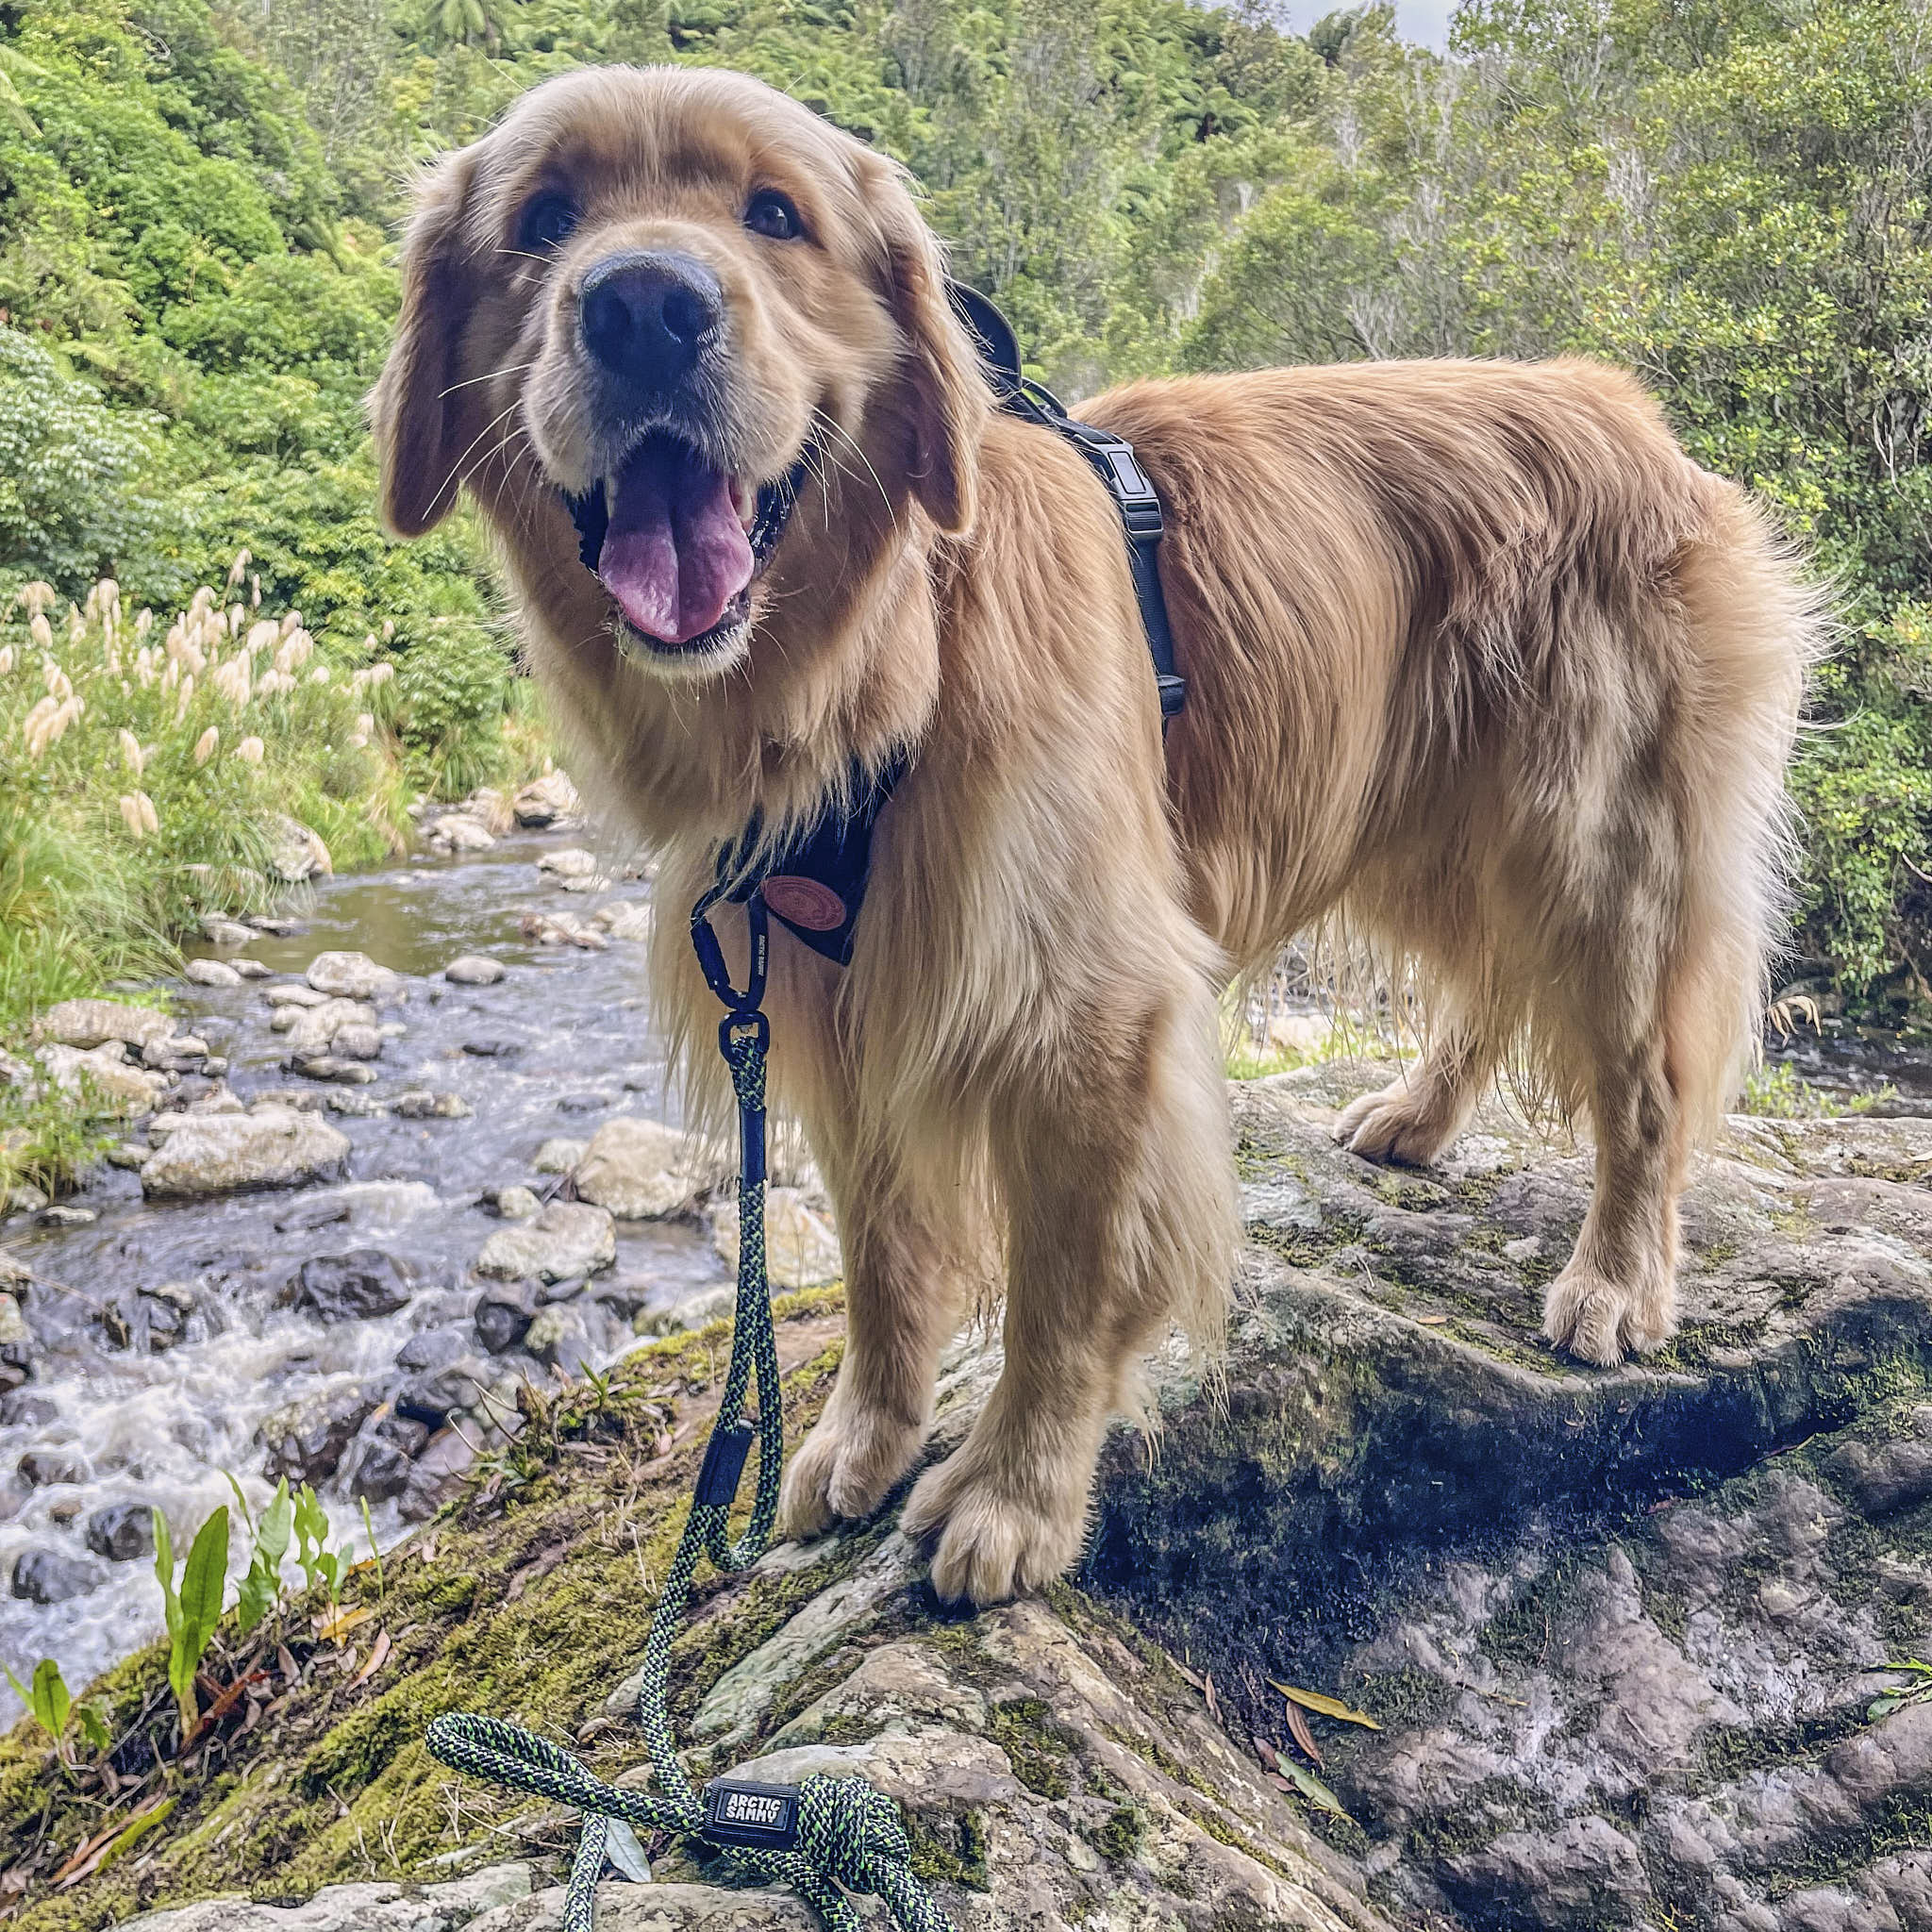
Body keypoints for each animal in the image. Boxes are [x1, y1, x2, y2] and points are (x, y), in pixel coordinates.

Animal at [369, 64, 1816, 1599]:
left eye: (774, 214)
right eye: (544, 220)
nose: (644, 306)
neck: (890, 657)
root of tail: (1633, 409)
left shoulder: (1086, 1009)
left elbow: (1064, 1288)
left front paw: (1013, 1493)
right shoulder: (836, 1000)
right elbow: (884, 1260)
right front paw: (866, 1435)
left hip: (1596, 845)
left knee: (1645, 1085)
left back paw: (1616, 1279)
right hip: (1426, 815)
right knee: (1484, 988)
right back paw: (1416, 1119)